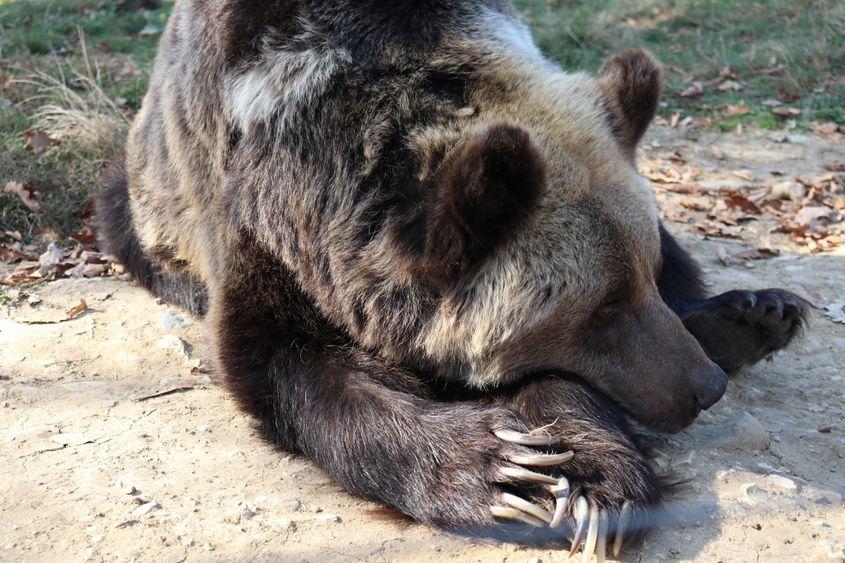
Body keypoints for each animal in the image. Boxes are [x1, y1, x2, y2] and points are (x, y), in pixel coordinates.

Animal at [94, 0, 806, 557]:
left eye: (644, 277)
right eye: (602, 308)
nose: (704, 388)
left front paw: (591, 480)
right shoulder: (258, 224)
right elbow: (286, 366)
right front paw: (505, 476)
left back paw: (755, 315)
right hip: (139, 211)